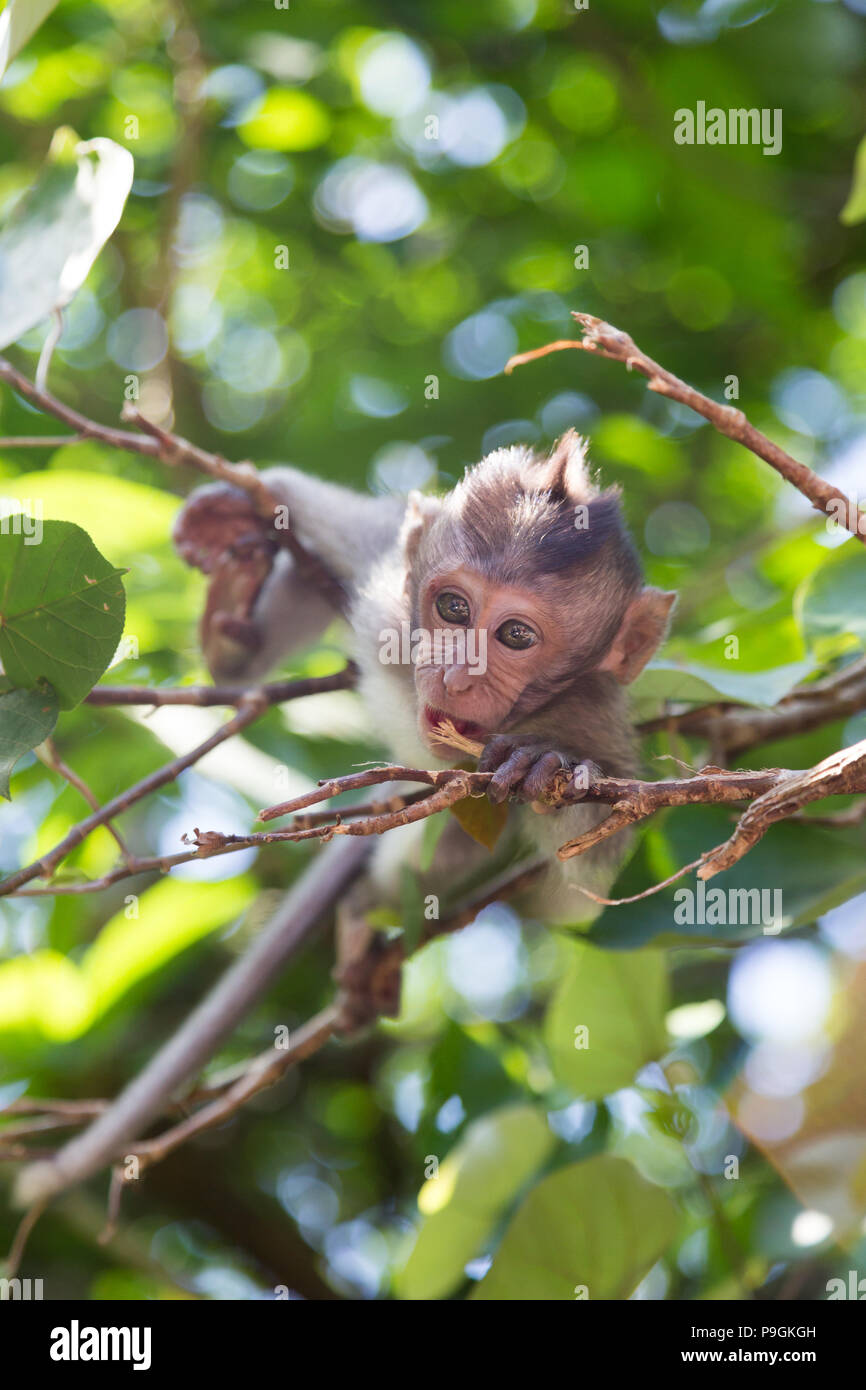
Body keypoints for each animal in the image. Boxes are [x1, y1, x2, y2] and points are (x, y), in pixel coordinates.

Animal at [173, 430, 676, 936]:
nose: (455, 677)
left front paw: (541, 761)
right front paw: (257, 496)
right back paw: (232, 635)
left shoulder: (589, 713)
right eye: (454, 608)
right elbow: (371, 528)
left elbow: (592, 868)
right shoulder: (387, 596)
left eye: (516, 635)